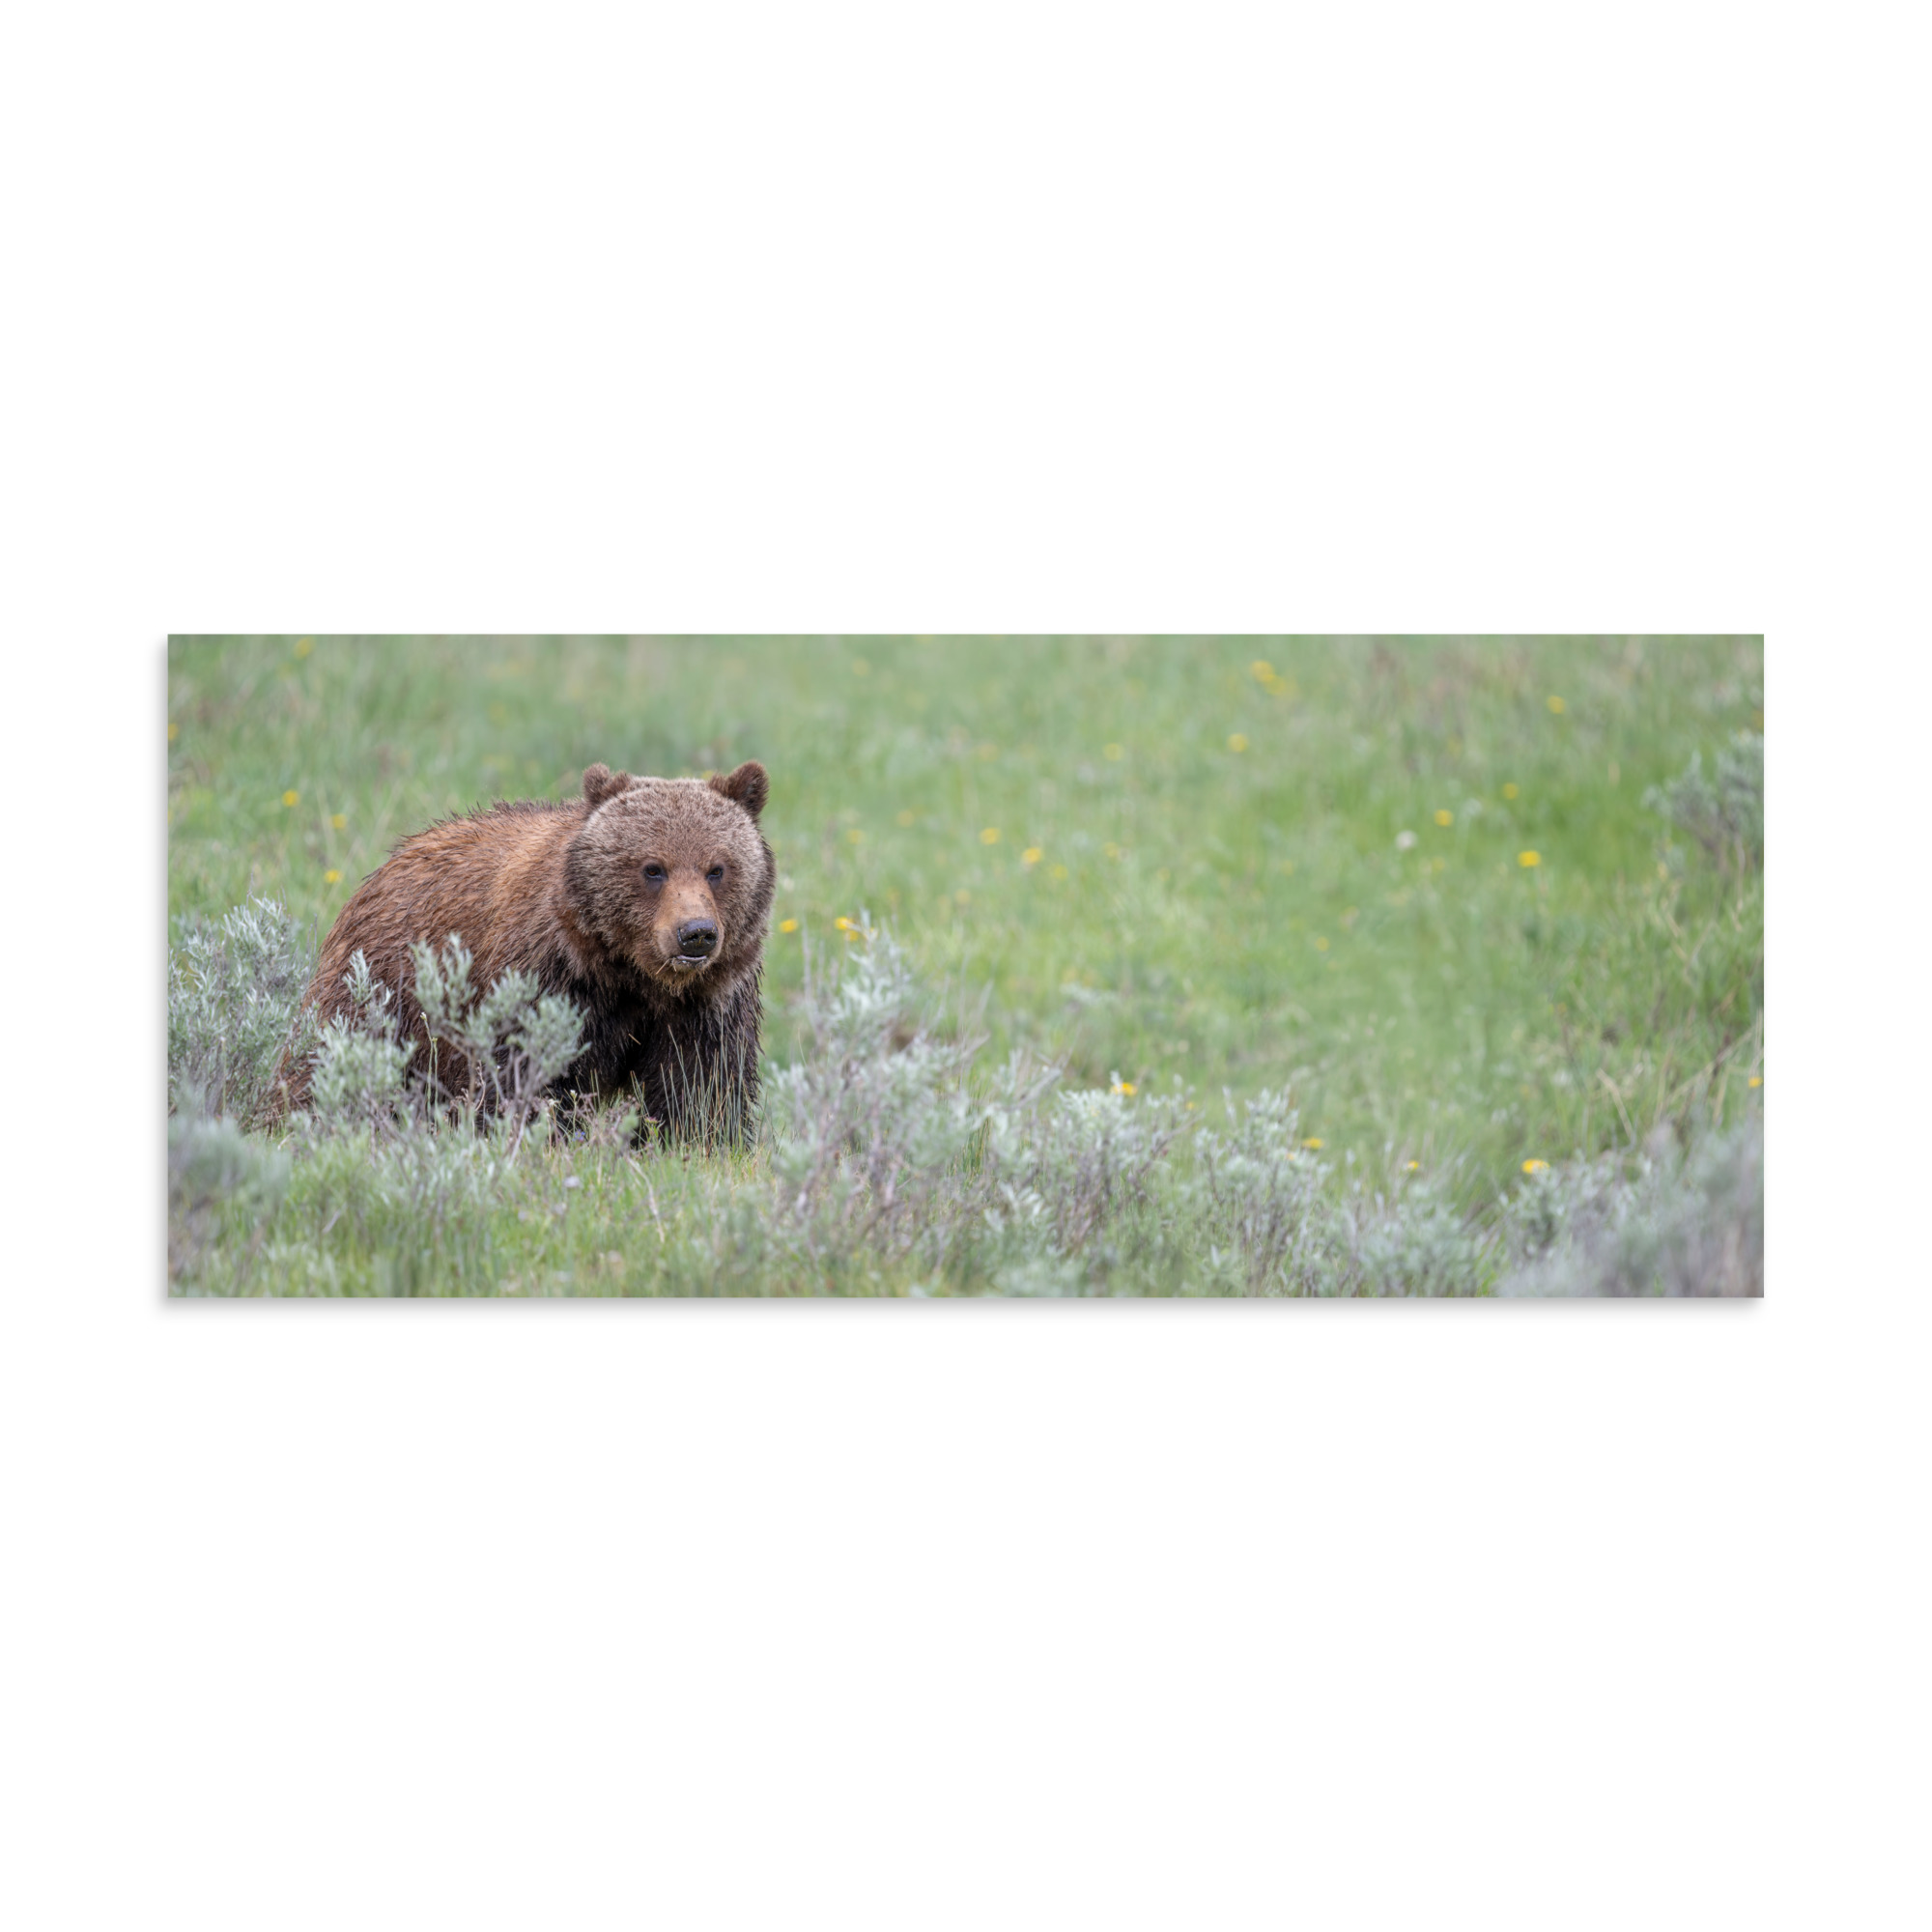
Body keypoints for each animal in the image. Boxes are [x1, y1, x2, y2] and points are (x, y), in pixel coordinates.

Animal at [281, 760, 774, 1139]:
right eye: (653, 868)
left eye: (717, 868)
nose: (696, 933)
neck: (631, 974)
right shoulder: (547, 978)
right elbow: (523, 1073)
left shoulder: (707, 1001)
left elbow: (700, 1086)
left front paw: (694, 1141)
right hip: (381, 988)